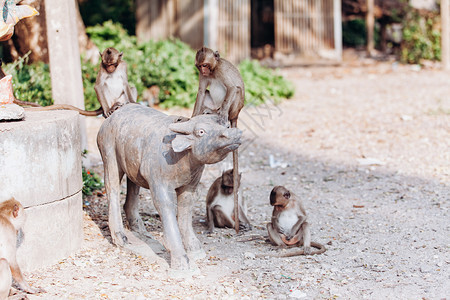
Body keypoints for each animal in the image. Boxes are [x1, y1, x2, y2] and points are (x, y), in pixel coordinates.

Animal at [192, 47, 244, 233]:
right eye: (200, 66)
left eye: (206, 65)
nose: (204, 71)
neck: (213, 71)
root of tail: (236, 115)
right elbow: (201, 92)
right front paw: (191, 117)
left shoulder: (221, 71)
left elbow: (232, 87)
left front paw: (222, 116)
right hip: (212, 103)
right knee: (207, 93)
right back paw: (208, 112)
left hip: (234, 108)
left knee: (235, 90)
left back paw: (220, 115)